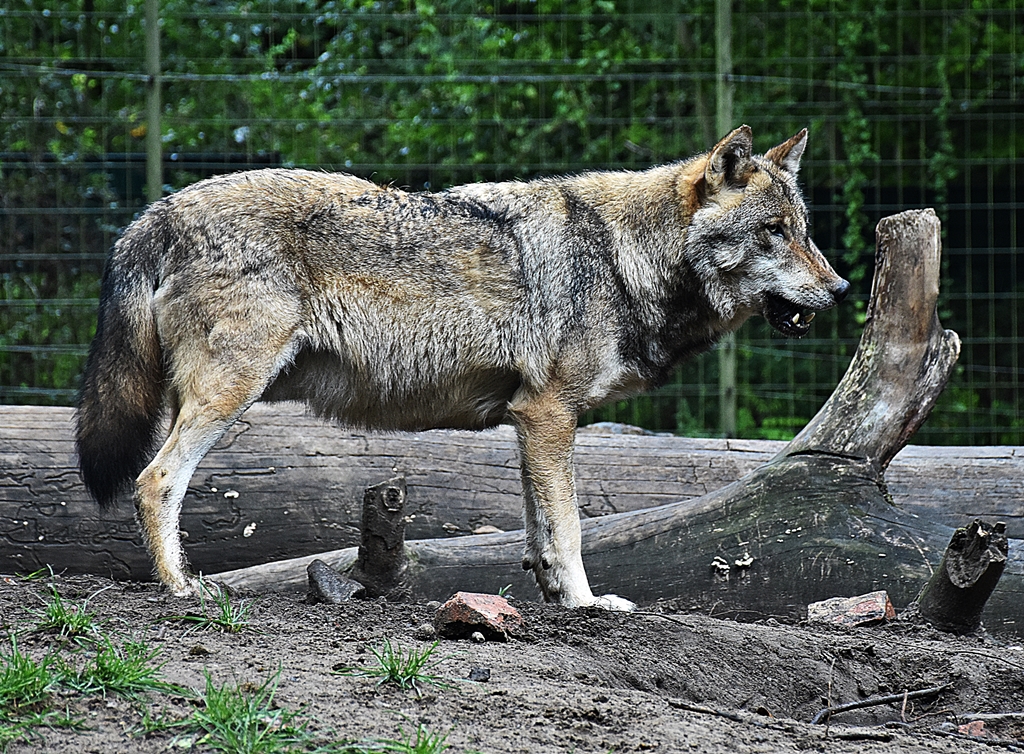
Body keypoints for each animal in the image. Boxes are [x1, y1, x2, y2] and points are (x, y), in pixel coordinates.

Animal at [76, 125, 849, 610]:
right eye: (773, 233)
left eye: (804, 232)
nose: (842, 290)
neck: (625, 257)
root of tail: (154, 212)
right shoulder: (549, 414)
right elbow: (570, 529)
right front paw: (590, 603)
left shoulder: (529, 421)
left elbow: (540, 532)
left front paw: (557, 600)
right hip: (226, 396)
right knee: (154, 482)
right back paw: (180, 589)